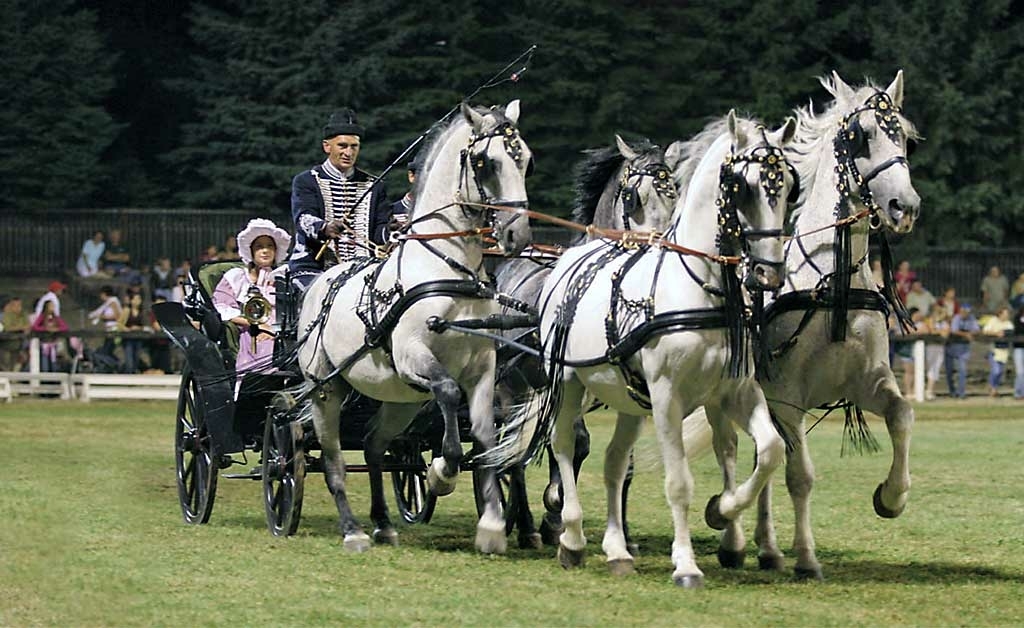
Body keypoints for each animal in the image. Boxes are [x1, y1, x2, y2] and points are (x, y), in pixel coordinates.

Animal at [296, 101, 532, 553]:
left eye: (525, 159)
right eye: (485, 162)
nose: (518, 234)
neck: (448, 267)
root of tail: (320, 283)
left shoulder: (482, 368)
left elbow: (485, 436)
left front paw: (493, 525)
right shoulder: (413, 356)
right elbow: (448, 393)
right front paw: (442, 473)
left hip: (399, 398)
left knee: (374, 444)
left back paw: (383, 523)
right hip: (326, 389)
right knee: (333, 458)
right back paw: (353, 530)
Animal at [487, 110, 798, 585]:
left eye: (789, 186)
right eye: (740, 186)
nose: (769, 273)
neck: (697, 287)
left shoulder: (734, 391)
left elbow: (768, 451)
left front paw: (722, 513)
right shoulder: (667, 395)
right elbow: (678, 482)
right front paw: (686, 564)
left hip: (627, 396)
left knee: (614, 461)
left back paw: (614, 549)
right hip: (564, 383)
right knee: (560, 444)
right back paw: (566, 535)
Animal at [684, 69, 925, 577]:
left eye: (905, 138)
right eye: (859, 136)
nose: (904, 206)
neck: (833, 284)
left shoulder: (869, 382)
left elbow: (902, 415)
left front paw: (891, 496)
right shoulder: (787, 397)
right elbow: (801, 476)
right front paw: (808, 557)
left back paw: (768, 548)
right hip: (724, 394)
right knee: (730, 452)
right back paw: (732, 534)